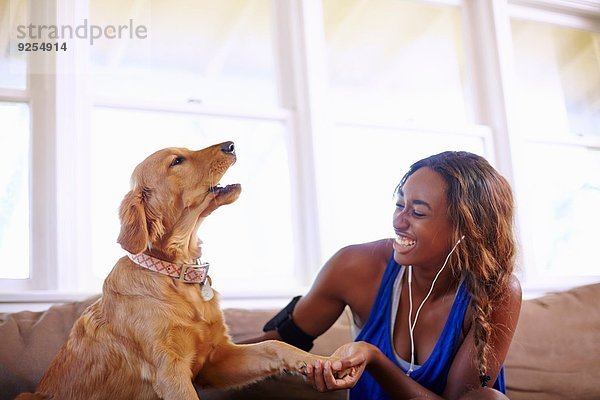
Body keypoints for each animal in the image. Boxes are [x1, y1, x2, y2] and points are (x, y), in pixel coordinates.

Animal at [16, 142, 338, 400]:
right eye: (177, 161)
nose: (231, 144)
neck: (176, 271)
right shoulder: (169, 371)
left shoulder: (216, 360)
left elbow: (274, 345)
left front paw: (317, 361)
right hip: (26, 396)